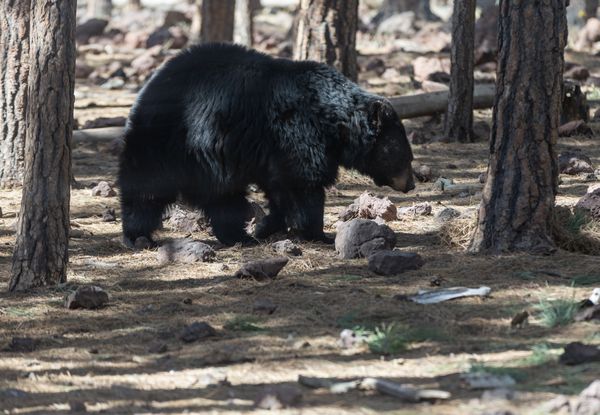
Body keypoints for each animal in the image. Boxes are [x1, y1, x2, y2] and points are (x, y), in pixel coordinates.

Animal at [119, 43, 414, 247]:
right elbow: (303, 184)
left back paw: (236, 235)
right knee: (147, 187)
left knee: (219, 198)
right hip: (167, 140)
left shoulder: (275, 150)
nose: (411, 184)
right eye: (406, 157)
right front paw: (317, 233)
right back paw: (140, 235)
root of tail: (149, 87)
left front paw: (267, 226)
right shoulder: (298, 131)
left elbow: (280, 188)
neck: (332, 120)